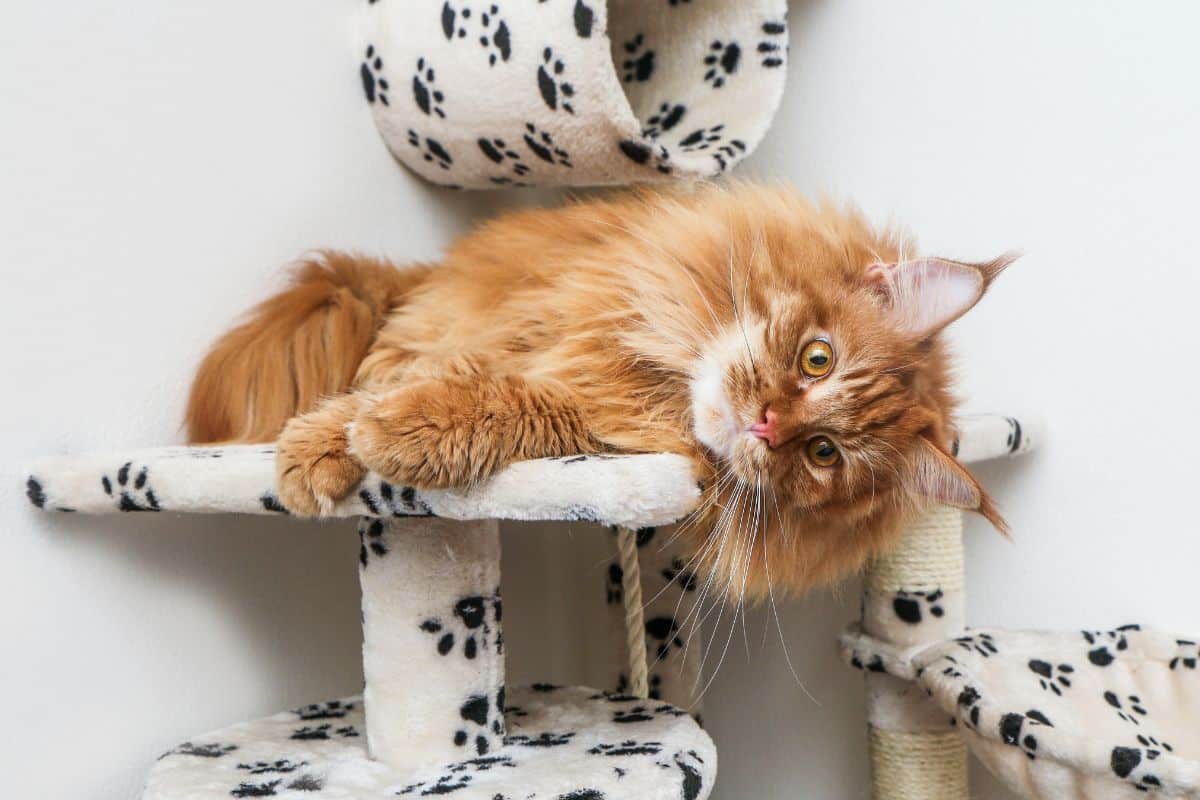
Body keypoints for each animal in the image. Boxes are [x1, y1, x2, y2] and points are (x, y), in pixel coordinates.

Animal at [189, 184, 1012, 597]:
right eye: (818, 359)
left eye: (822, 454)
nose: (765, 424)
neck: (656, 373)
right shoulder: (525, 328)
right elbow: (413, 382)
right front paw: (315, 448)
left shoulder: (596, 428)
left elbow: (507, 404)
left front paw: (399, 435)